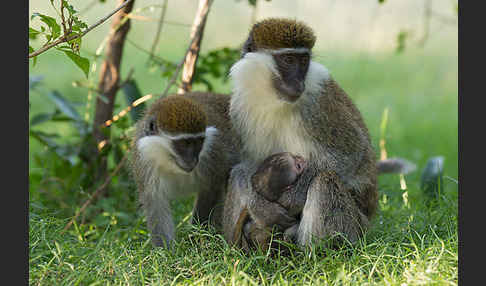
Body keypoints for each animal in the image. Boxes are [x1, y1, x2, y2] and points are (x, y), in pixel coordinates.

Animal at [130, 92, 238, 248]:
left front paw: (198, 237)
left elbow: (211, 188)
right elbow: (155, 203)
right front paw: (165, 250)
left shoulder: (214, 152)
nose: (193, 160)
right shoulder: (144, 161)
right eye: (184, 143)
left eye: (198, 142)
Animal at [226, 17, 382, 247]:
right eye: (289, 60)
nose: (298, 82)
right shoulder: (239, 109)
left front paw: (293, 198)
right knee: (236, 175)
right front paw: (258, 205)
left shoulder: (318, 107)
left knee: (325, 181)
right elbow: (250, 166)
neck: (275, 101)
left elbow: (352, 156)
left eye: (304, 61)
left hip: (357, 228)